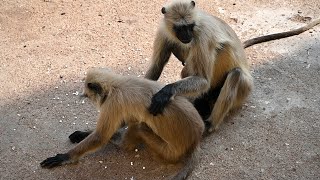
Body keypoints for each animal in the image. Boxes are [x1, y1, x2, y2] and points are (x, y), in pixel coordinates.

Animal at [40, 67, 205, 179]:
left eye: (88, 95)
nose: (86, 98)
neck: (115, 84)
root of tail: (196, 138)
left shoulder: (113, 102)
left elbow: (101, 136)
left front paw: (65, 157)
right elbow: (121, 121)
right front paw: (83, 133)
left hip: (169, 151)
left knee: (139, 126)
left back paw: (119, 141)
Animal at [146, 0, 320, 132]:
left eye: (190, 26)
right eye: (180, 28)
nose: (187, 35)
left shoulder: (201, 34)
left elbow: (203, 80)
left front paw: (165, 92)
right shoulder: (164, 31)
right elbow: (157, 66)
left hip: (244, 90)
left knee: (234, 71)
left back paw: (209, 124)